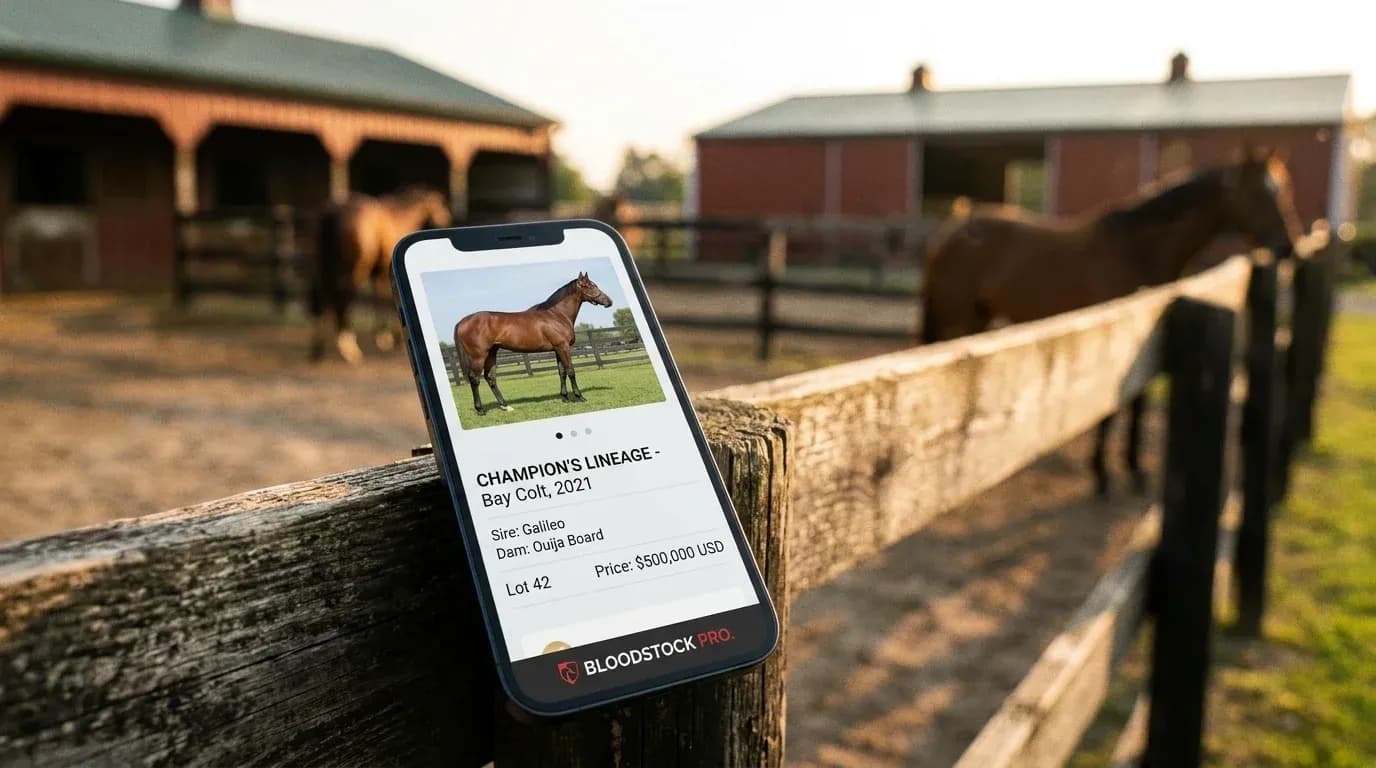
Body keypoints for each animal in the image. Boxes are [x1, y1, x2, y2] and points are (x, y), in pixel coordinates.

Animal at [309, 186, 452, 363]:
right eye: (439, 203)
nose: (446, 219)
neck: (399, 217)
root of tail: (334, 210)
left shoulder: (378, 274)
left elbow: (378, 300)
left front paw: (383, 337)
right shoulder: (386, 271)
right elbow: (386, 301)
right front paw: (390, 339)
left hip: (322, 267)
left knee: (321, 297)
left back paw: (318, 348)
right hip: (355, 269)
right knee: (344, 298)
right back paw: (349, 348)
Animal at [454, 272, 613, 415]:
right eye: (591, 286)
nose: (609, 301)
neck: (557, 315)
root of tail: (463, 321)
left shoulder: (557, 349)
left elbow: (561, 372)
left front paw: (565, 397)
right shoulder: (564, 347)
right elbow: (570, 371)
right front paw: (579, 397)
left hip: (492, 353)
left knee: (490, 378)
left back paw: (505, 406)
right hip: (479, 356)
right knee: (475, 379)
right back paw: (480, 410)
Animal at [919, 146, 1302, 497]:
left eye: (1282, 190)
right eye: (1258, 193)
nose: (1288, 247)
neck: (1137, 251)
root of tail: (952, 229)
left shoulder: (1145, 338)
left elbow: (1138, 403)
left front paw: (1134, 471)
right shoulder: (1113, 341)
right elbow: (1111, 412)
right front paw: (1102, 474)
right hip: (960, 320)